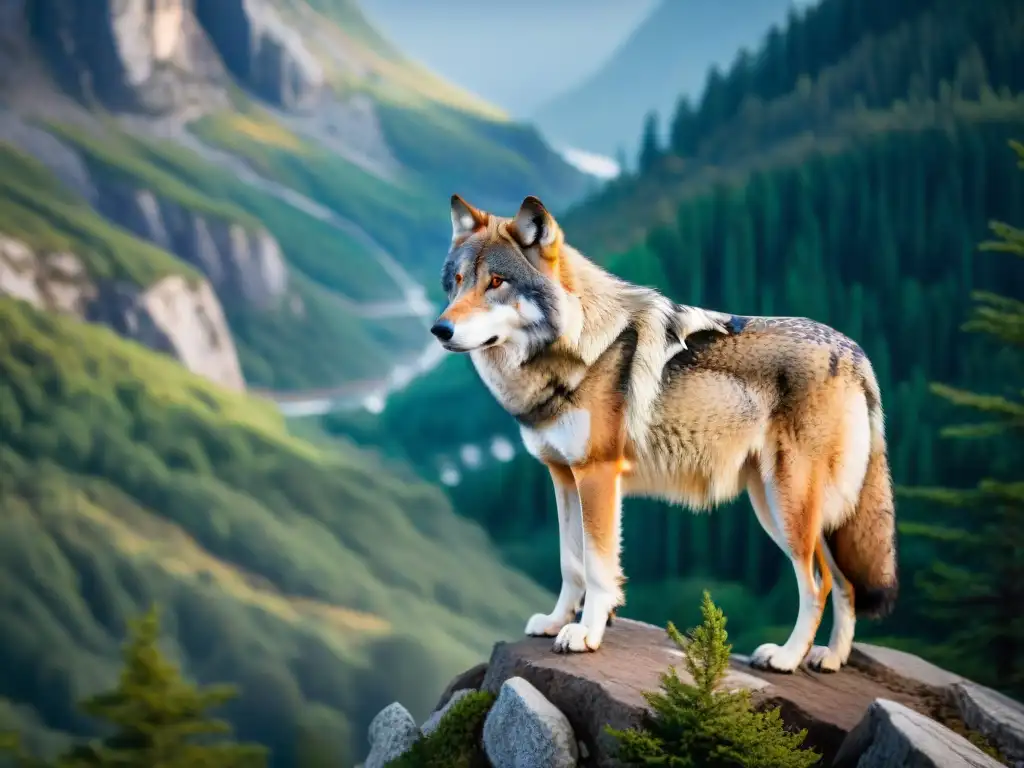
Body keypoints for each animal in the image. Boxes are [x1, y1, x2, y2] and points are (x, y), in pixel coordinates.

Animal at [430, 195, 897, 675]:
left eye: (497, 282)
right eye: (459, 283)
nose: (439, 330)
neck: (578, 348)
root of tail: (856, 353)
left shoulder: (598, 475)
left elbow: (597, 567)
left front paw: (585, 634)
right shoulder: (563, 476)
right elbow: (570, 563)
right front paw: (557, 622)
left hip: (787, 507)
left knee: (818, 584)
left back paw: (786, 657)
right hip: (789, 510)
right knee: (846, 584)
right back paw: (831, 658)